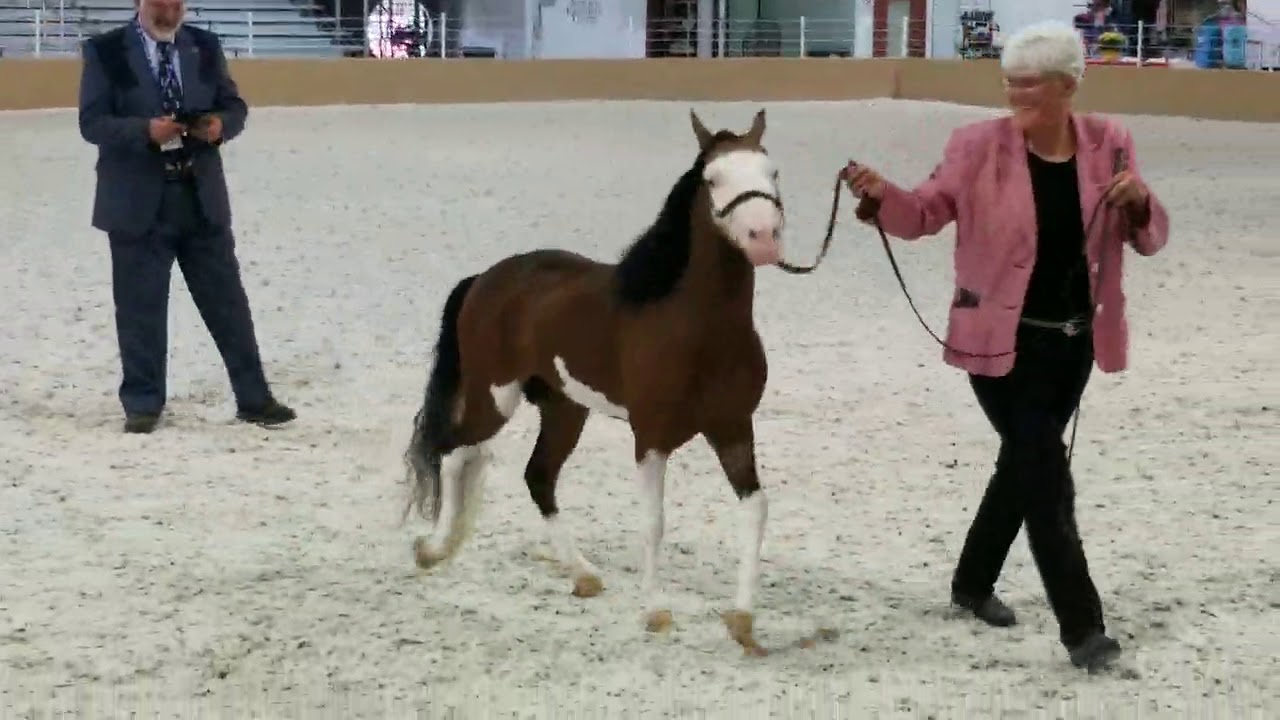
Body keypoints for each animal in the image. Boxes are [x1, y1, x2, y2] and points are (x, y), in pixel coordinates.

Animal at [402, 108, 790, 656]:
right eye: (713, 178)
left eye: (771, 172)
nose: (763, 237)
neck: (698, 326)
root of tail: (485, 279)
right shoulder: (651, 437)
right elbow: (653, 522)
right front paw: (655, 612)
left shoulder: (733, 427)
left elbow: (755, 509)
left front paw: (743, 621)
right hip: (494, 396)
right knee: (456, 453)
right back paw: (434, 549)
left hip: (565, 408)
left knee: (537, 476)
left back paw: (582, 574)